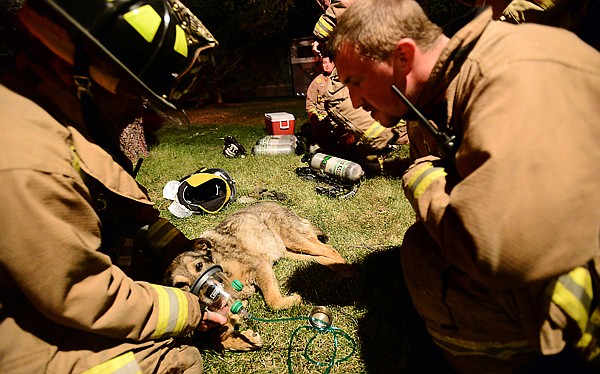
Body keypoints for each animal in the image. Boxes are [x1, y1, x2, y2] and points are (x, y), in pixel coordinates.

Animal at [162, 202, 354, 350]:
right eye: (181, 286)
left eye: (199, 266)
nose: (211, 294)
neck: (220, 263)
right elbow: (217, 339)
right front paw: (246, 341)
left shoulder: (260, 265)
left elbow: (273, 301)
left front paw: (294, 299)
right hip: (291, 251)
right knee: (319, 257)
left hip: (293, 238)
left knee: (327, 248)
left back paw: (346, 269)